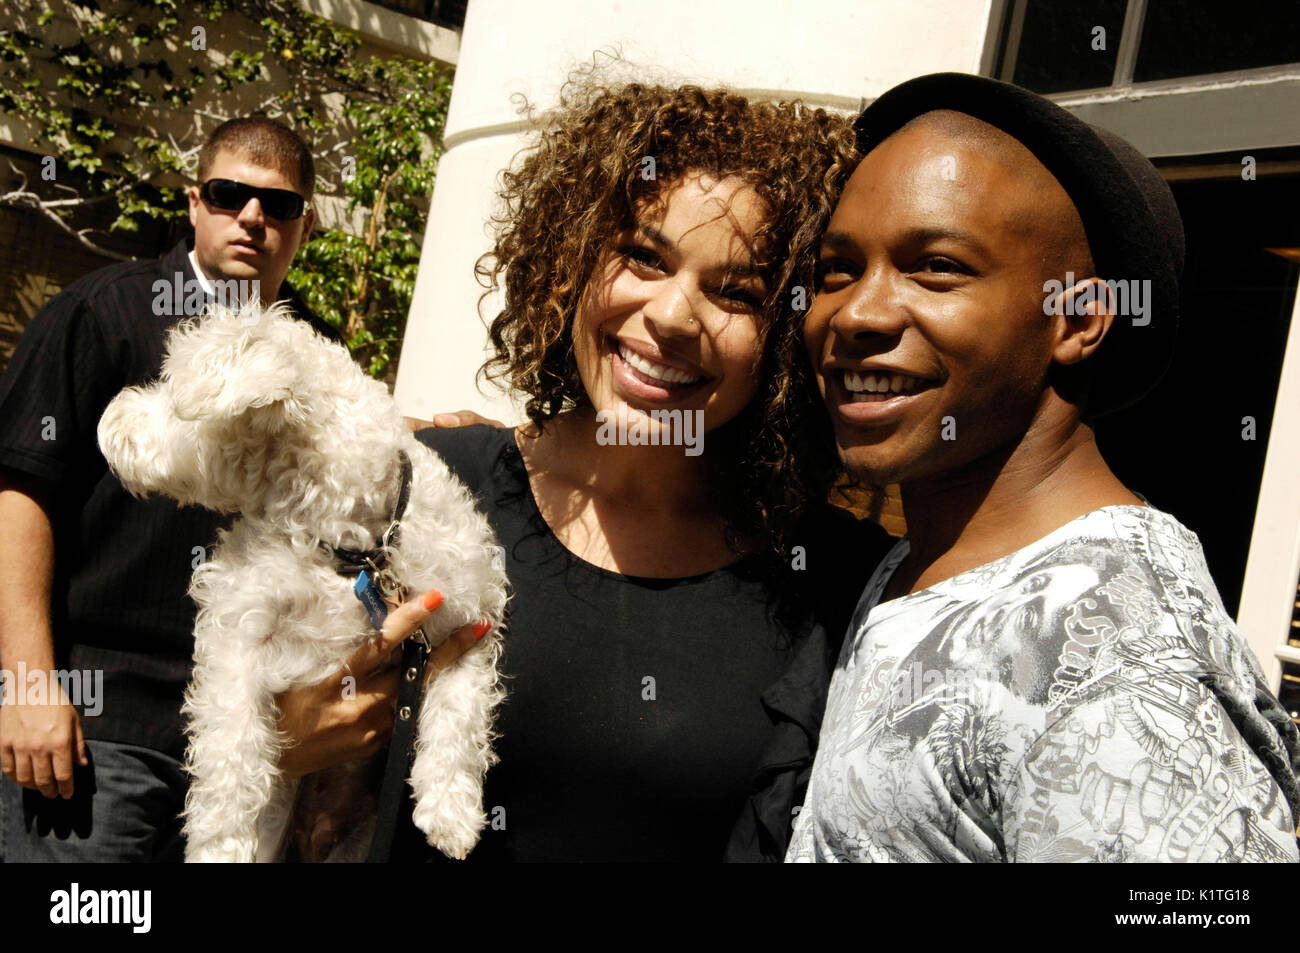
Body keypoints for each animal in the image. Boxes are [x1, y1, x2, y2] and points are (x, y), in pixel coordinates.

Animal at [94, 299, 506, 863]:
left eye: (169, 388)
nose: (108, 418)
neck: (354, 545)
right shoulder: (239, 636)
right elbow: (231, 755)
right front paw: (220, 846)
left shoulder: (467, 626)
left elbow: (459, 719)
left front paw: (451, 811)